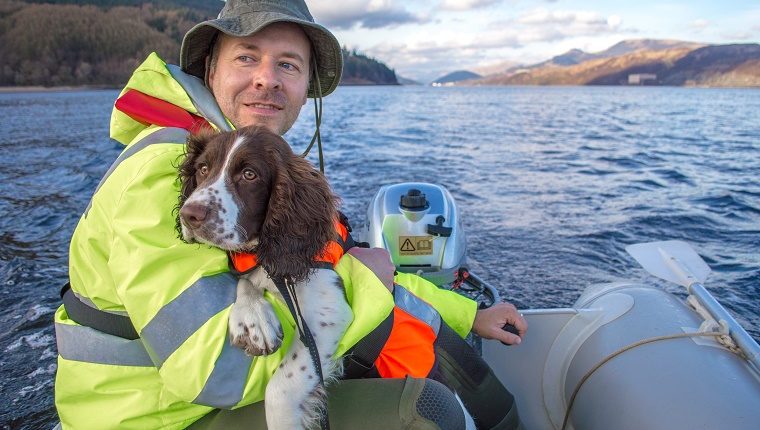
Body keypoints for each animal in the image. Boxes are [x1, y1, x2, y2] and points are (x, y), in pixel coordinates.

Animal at [177, 125, 352, 430]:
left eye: (249, 174)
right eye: (202, 168)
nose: (189, 215)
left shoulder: (329, 307)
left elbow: (280, 389)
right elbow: (246, 280)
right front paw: (253, 319)